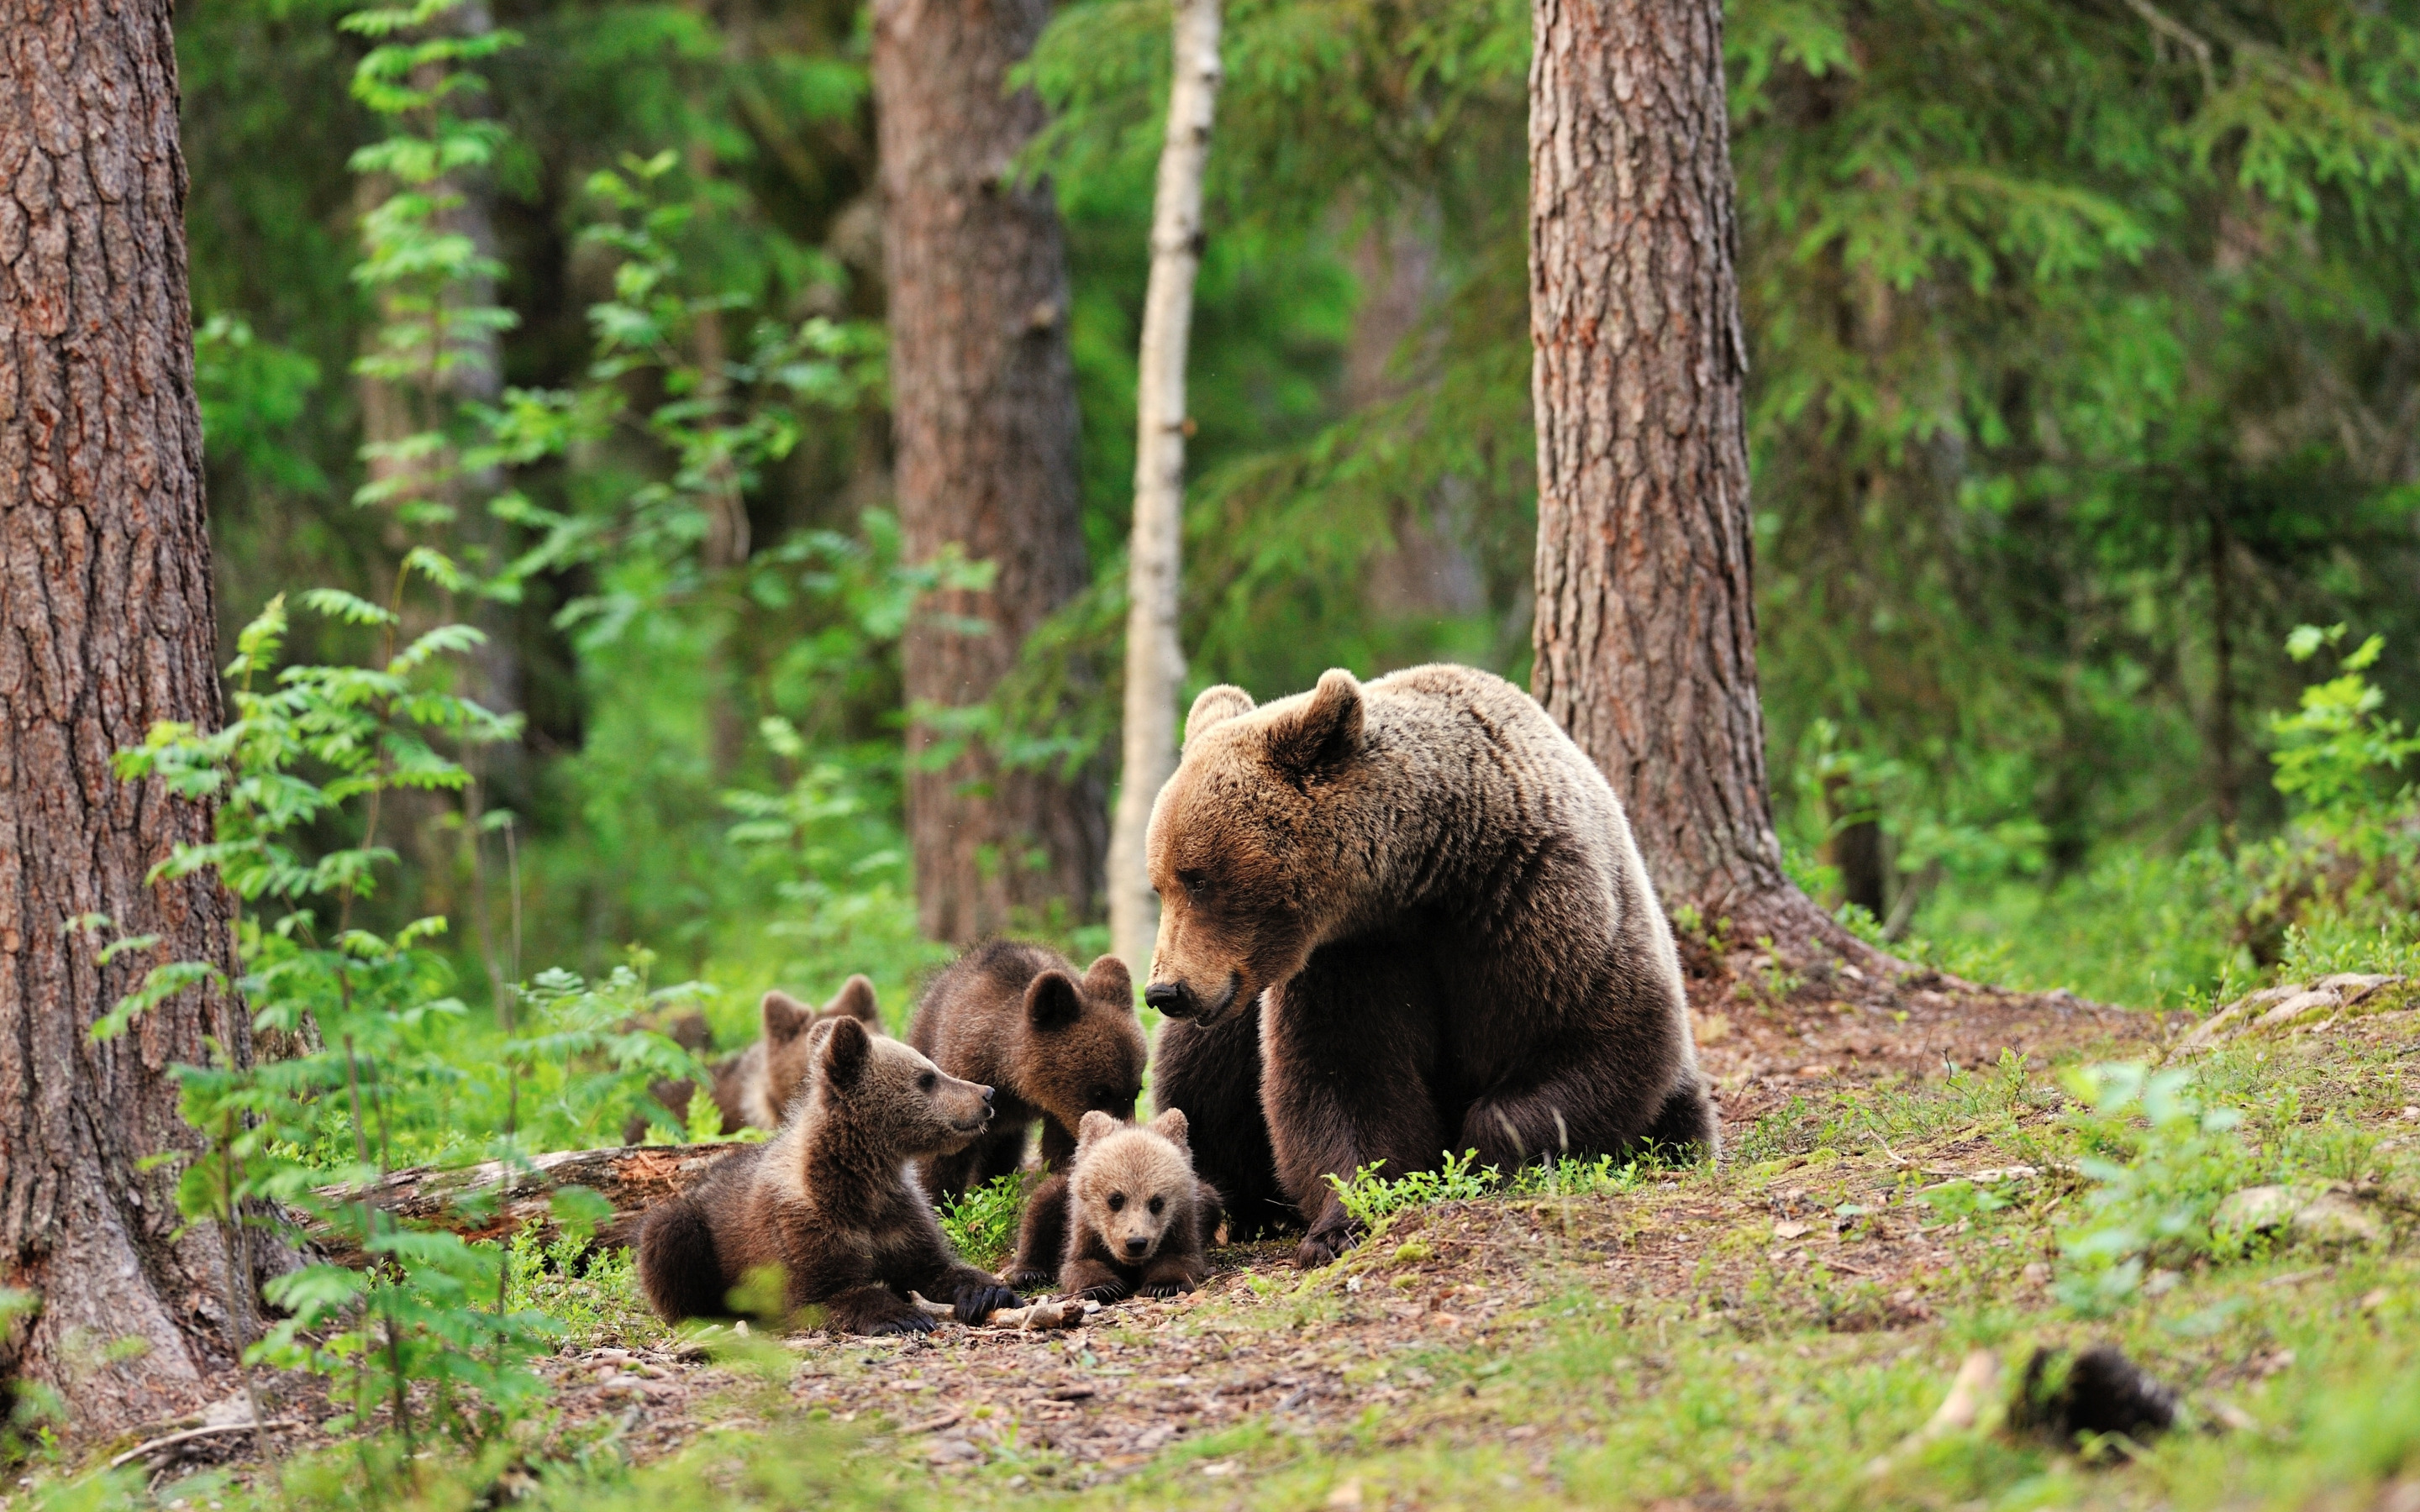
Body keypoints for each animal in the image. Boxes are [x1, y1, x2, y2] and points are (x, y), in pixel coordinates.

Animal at [1142, 667, 1713, 1268]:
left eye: (1198, 879)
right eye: (1161, 883)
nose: (1165, 991)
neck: (1428, 877)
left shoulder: (1539, 901)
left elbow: (1593, 1036)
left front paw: (1480, 1161)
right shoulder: (1351, 958)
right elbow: (1344, 1074)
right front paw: (1341, 1223)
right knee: (1200, 1075)